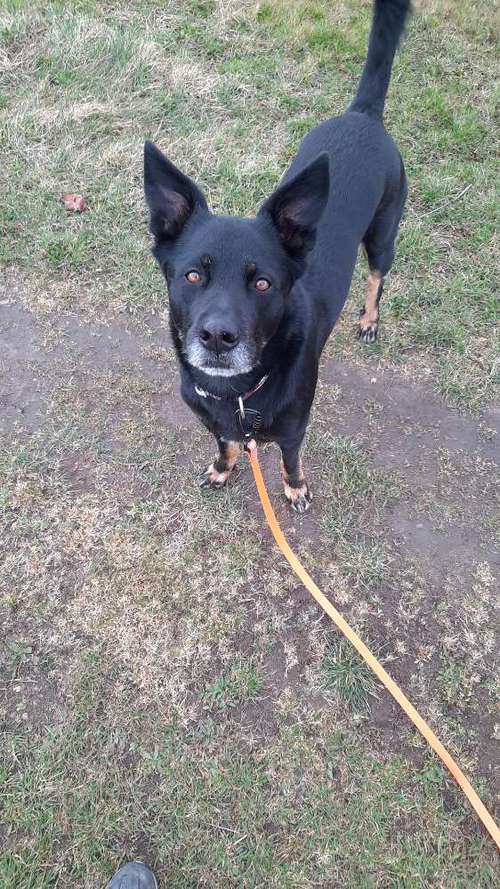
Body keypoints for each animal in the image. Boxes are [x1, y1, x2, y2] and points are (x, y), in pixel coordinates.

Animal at [144, 1, 410, 512]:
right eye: (192, 275)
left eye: (263, 282)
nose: (217, 337)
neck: (237, 392)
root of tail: (363, 115)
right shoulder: (216, 421)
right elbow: (226, 442)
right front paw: (223, 468)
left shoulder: (293, 429)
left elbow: (290, 462)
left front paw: (295, 489)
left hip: (384, 235)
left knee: (376, 278)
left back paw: (369, 319)